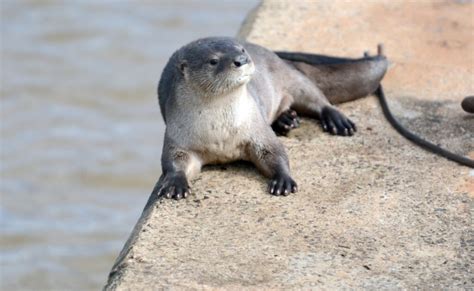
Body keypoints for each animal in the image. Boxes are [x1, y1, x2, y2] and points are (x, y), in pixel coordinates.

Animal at [154, 37, 386, 201]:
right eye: (213, 61)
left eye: (241, 50)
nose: (242, 60)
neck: (219, 131)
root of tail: (279, 57)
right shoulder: (177, 138)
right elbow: (173, 162)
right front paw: (175, 183)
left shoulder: (256, 128)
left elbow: (275, 151)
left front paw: (283, 180)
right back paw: (286, 121)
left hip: (293, 79)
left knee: (317, 98)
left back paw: (336, 120)